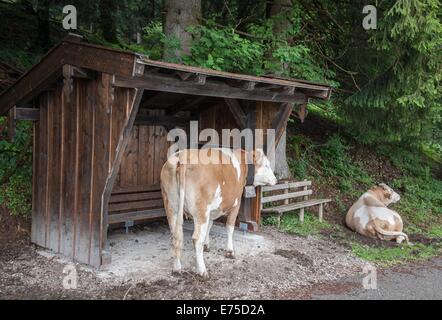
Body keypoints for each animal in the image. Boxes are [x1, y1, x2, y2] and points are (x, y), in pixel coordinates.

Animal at [159, 148, 276, 278]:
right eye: (267, 165)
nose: (275, 180)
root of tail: (183, 155)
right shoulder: (236, 203)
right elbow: (230, 227)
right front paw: (230, 251)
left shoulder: (212, 210)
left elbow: (209, 226)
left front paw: (206, 245)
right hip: (201, 210)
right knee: (196, 239)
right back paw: (202, 270)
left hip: (171, 207)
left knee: (176, 235)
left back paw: (177, 268)